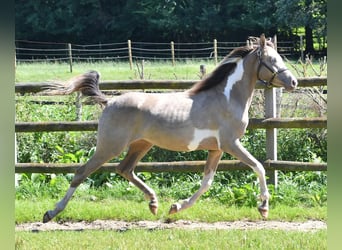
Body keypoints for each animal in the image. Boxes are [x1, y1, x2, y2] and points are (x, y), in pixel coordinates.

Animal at [42, 33, 296, 223]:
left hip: (141, 144)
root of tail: (109, 101)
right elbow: (259, 167)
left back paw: (154, 203)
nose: (293, 82)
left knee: (125, 169)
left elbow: (206, 182)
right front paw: (264, 207)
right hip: (110, 146)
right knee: (81, 172)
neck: (227, 97)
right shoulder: (230, 144)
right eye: (272, 60)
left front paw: (175, 207)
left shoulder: (216, 149)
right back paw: (51, 213)